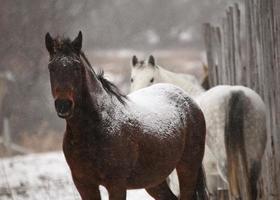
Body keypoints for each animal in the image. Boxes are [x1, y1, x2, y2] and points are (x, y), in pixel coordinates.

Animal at [44, 32, 208, 199]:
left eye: (77, 67)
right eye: (51, 67)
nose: (63, 105)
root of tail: (188, 99)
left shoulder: (116, 185)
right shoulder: (84, 184)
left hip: (188, 167)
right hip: (154, 180)